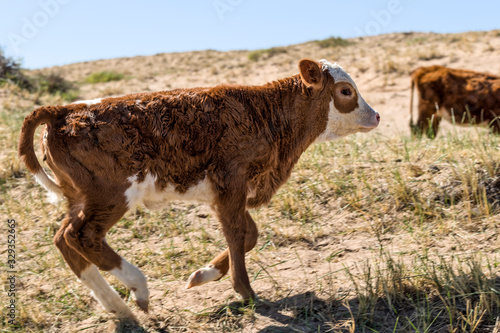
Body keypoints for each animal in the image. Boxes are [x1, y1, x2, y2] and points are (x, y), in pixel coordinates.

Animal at [18, 58, 378, 318]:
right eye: (346, 91)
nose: (375, 116)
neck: (265, 113)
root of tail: (61, 110)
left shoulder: (228, 193)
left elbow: (249, 234)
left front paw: (205, 274)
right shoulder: (231, 182)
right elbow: (237, 234)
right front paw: (245, 292)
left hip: (81, 198)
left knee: (63, 239)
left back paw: (120, 311)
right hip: (110, 196)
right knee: (81, 236)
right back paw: (139, 290)